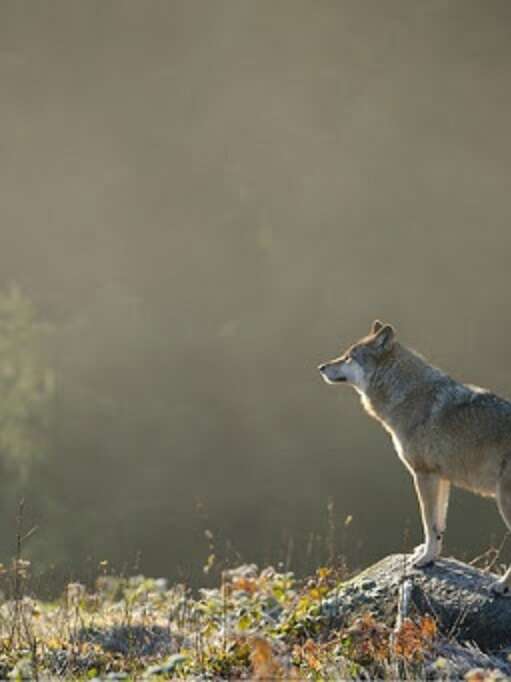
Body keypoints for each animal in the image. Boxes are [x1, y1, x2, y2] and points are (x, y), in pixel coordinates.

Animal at [320, 322, 511, 592]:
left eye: (349, 357)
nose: (321, 367)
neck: (407, 394)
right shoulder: (441, 478)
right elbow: (438, 525)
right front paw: (429, 554)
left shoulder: (424, 475)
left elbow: (428, 524)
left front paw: (424, 560)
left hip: (504, 502)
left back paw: (502, 585)